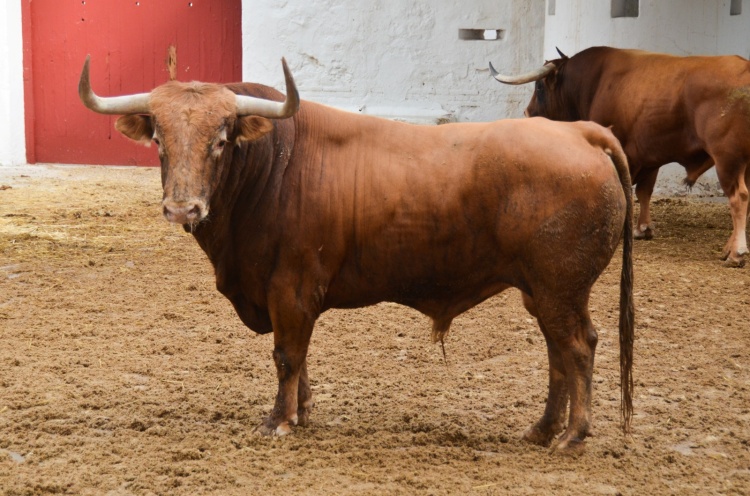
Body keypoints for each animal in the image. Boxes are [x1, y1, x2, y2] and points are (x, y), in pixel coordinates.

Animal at [79, 55, 634, 452]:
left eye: (221, 138)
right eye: (158, 138)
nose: (182, 207)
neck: (273, 165)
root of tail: (579, 131)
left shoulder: (291, 288)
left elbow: (287, 355)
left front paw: (278, 421)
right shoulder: (288, 298)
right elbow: (300, 358)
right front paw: (301, 412)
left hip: (560, 288)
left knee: (577, 348)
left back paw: (572, 436)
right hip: (541, 292)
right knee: (558, 353)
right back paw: (541, 429)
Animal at [490, 46, 750, 267]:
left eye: (540, 87)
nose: (527, 112)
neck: (594, 83)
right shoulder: (650, 156)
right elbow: (644, 191)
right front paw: (643, 228)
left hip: (728, 159)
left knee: (739, 197)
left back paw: (736, 252)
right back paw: (728, 248)